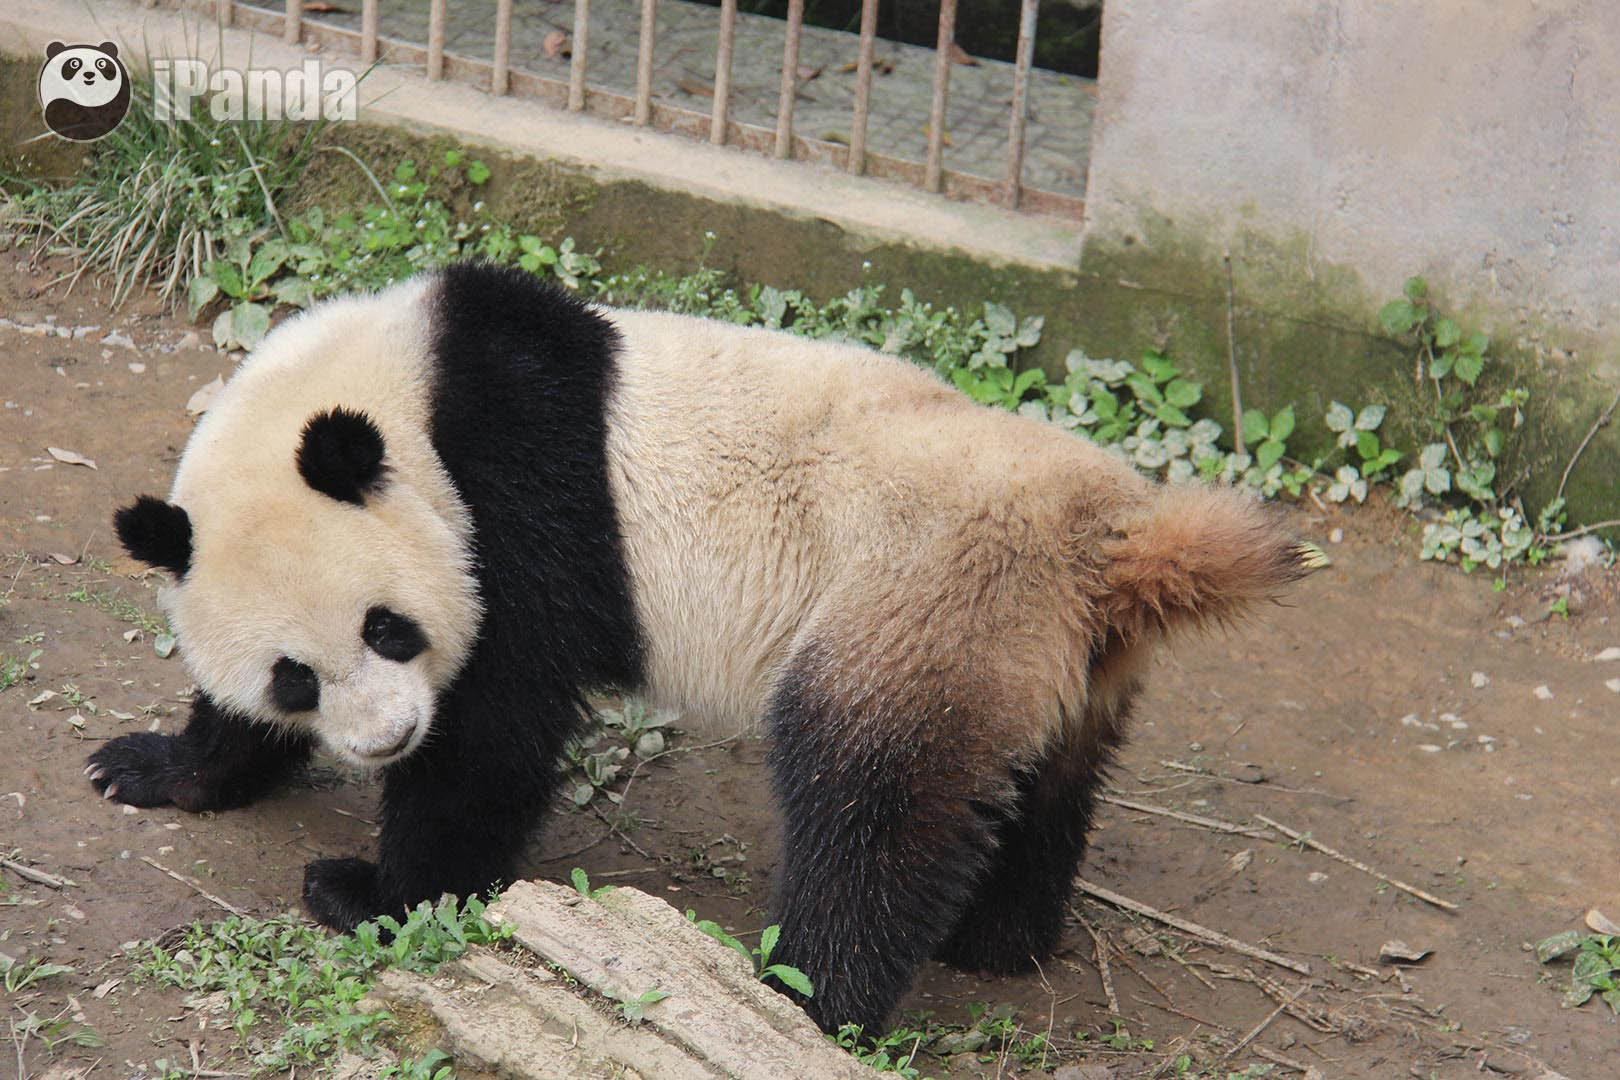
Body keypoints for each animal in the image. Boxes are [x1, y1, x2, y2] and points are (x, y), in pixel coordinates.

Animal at [91, 263, 1302, 1036]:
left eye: (388, 628)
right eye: (295, 677)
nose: (386, 738)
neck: (399, 390)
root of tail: (1109, 544)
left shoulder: (513, 511)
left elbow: (493, 737)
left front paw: (377, 892)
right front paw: (157, 766)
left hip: (919, 600)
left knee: (870, 802)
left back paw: (803, 991)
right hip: (1043, 655)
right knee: (1039, 784)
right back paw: (998, 937)